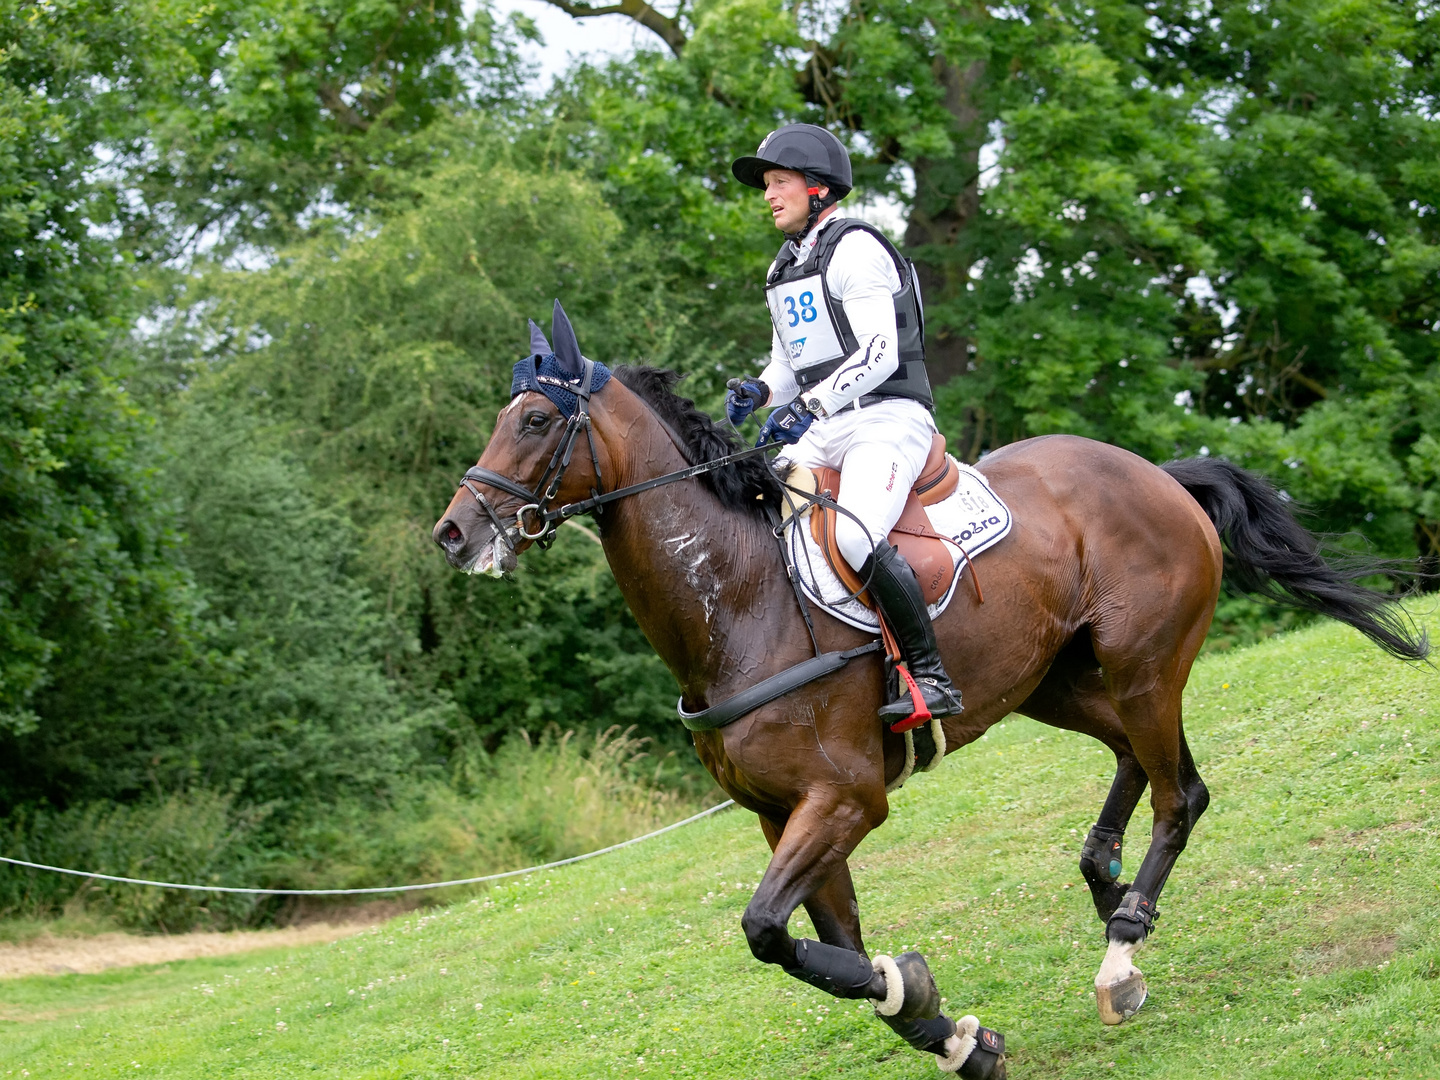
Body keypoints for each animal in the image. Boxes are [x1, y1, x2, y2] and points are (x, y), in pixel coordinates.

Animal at [432, 308, 1422, 1077]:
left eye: (531, 419)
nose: (453, 533)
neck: (736, 596)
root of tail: (1156, 473)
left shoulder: (844, 799)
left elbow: (767, 930)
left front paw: (923, 1000)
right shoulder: (783, 815)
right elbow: (826, 945)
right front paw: (947, 1032)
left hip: (1142, 667)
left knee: (1182, 792)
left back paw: (1121, 949)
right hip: (1052, 683)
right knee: (1138, 763)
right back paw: (1103, 879)